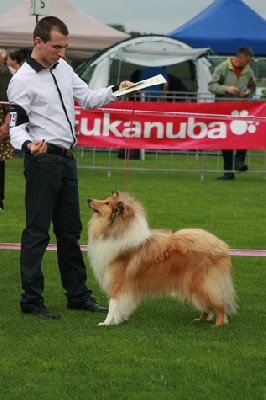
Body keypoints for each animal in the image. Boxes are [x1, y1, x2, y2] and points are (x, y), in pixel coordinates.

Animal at [87, 192, 237, 326]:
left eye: (107, 203)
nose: (89, 199)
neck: (117, 231)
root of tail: (222, 246)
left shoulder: (117, 283)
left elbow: (113, 305)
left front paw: (106, 323)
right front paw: (116, 321)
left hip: (202, 283)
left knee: (219, 304)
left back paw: (218, 324)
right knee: (207, 306)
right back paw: (200, 320)